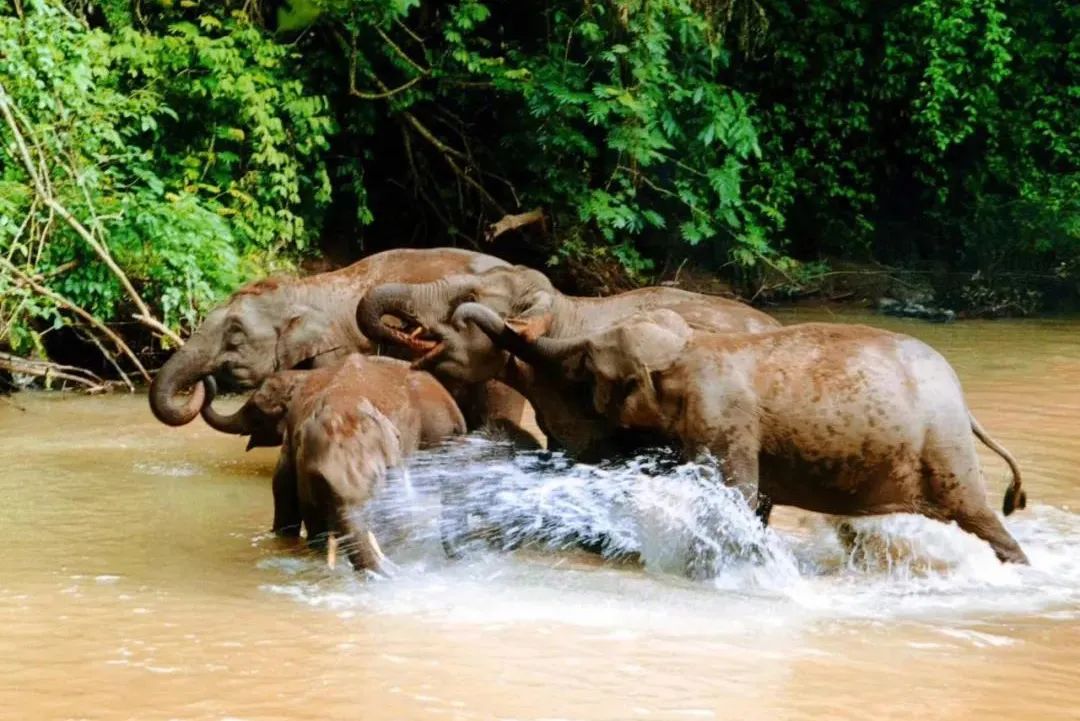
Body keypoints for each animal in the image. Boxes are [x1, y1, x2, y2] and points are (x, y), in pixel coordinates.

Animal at [455, 302, 1028, 561]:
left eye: (585, 367)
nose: (464, 316)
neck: (691, 349)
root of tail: (963, 404)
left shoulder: (724, 419)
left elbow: (735, 495)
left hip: (944, 449)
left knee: (978, 516)